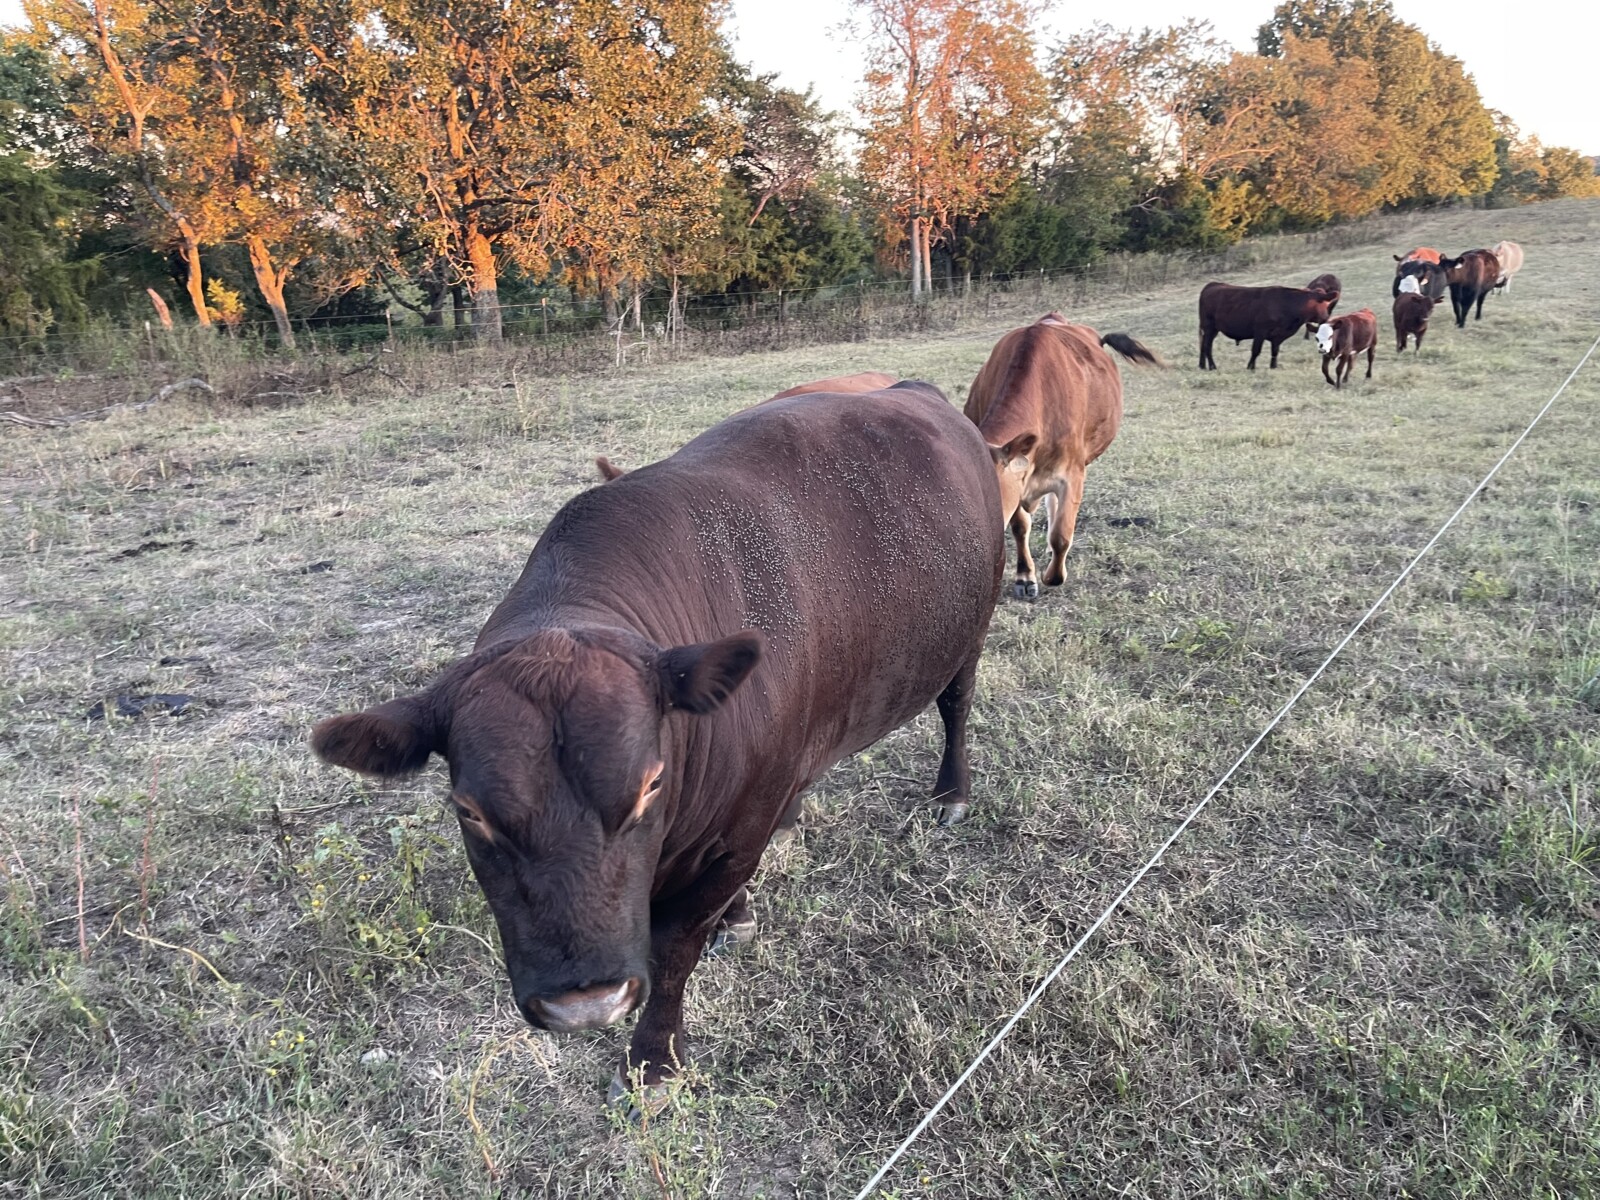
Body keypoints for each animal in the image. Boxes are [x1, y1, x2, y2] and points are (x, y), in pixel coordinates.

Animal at [310, 381, 1005, 1106]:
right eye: (469, 811)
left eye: (650, 782)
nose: (583, 1002)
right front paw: (737, 918)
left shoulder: (733, 840)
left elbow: (675, 950)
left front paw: (652, 1059)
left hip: (972, 628)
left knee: (956, 704)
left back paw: (951, 795)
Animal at [1198, 281, 1337, 370]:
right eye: (1322, 302)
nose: (1326, 318)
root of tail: (1213, 284)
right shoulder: (1260, 331)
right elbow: (1256, 350)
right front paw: (1250, 367)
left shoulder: (1277, 336)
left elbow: (1275, 351)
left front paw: (1273, 366)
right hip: (1209, 327)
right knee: (1207, 346)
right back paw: (1212, 366)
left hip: (1211, 329)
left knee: (1203, 346)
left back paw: (1202, 366)